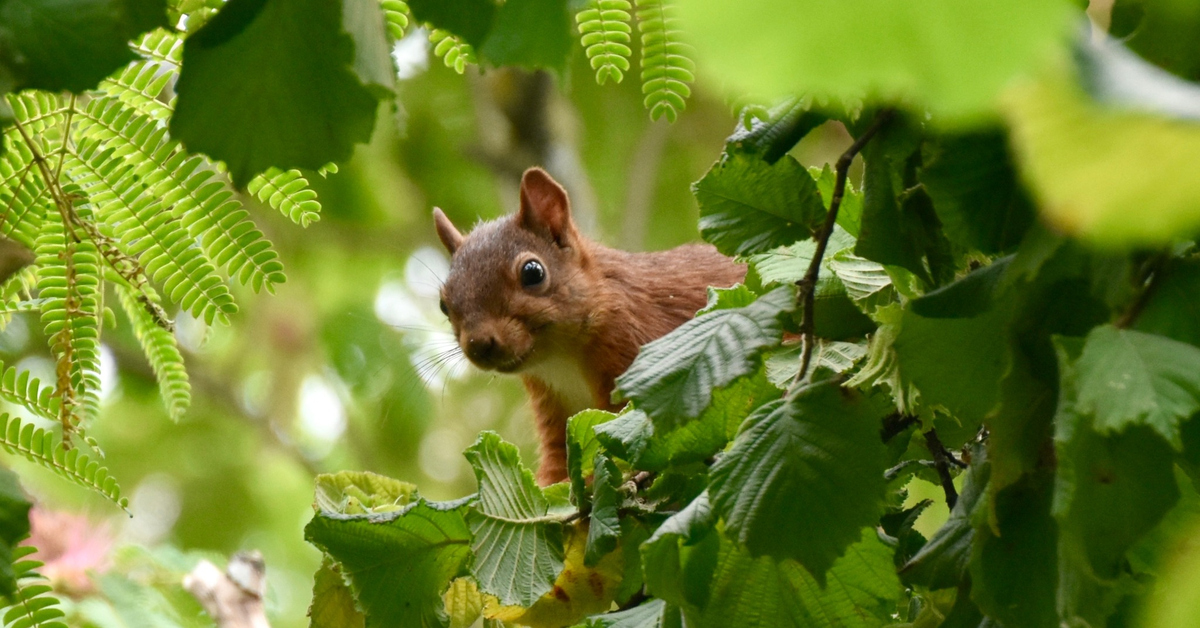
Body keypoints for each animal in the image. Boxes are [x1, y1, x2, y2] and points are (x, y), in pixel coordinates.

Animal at [432, 168, 746, 485]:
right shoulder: (554, 409)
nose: (479, 345)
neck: (560, 359)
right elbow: (559, 464)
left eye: (533, 272)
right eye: (443, 303)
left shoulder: (635, 349)